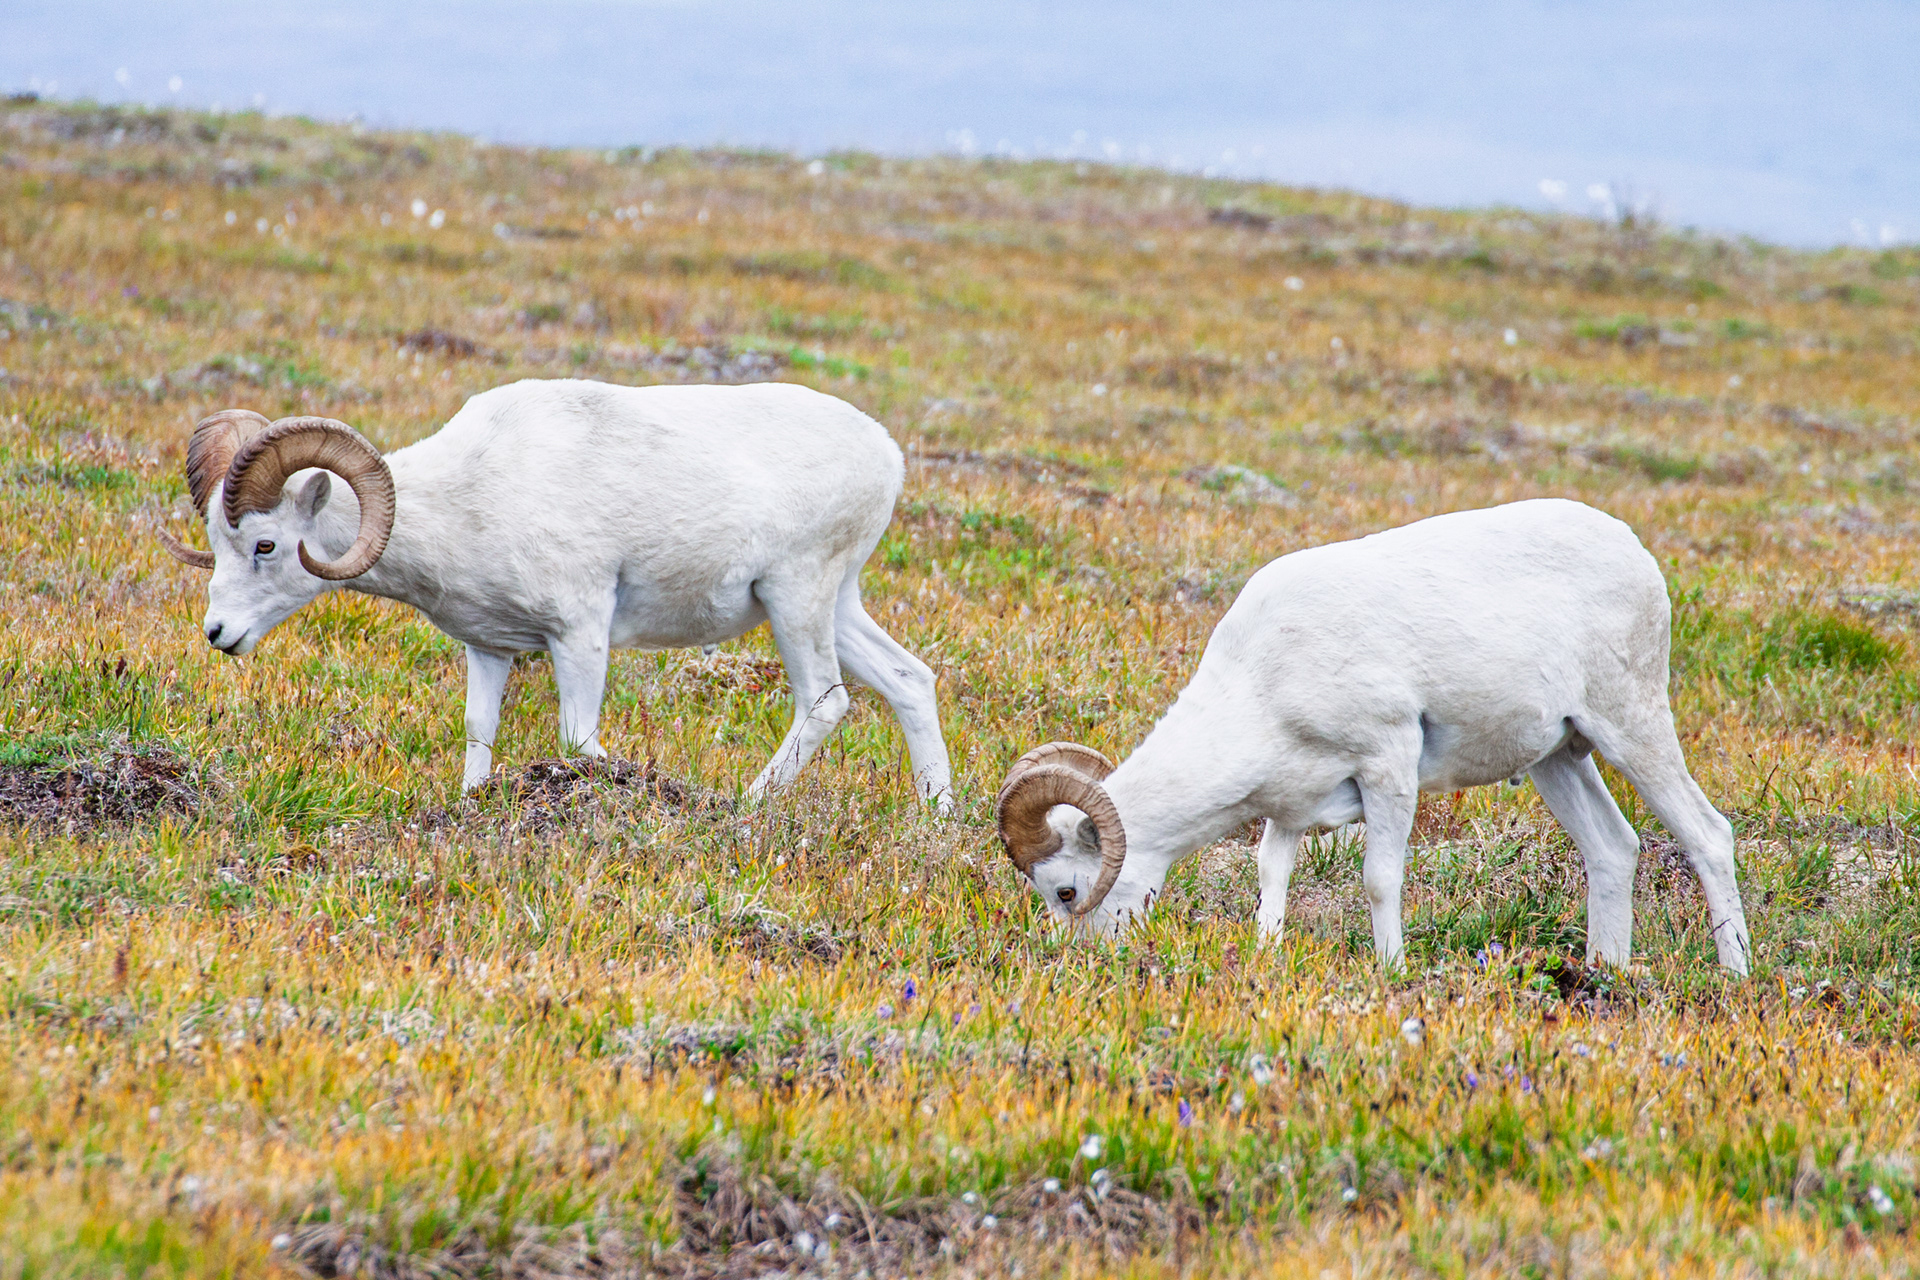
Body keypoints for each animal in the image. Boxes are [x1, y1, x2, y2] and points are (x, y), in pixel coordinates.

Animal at [158, 379, 954, 808]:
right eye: (217, 539)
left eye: (265, 546)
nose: (219, 634)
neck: (469, 496)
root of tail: (886, 453)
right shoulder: (489, 649)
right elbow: (479, 733)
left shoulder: (580, 635)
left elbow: (578, 741)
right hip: (836, 605)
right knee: (909, 681)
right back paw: (937, 817)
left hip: (796, 600)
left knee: (826, 700)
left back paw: (746, 806)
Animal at [993, 498, 1751, 973]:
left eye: (1065, 891)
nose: (1078, 960)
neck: (1262, 682)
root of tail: (1636, 554)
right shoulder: (1291, 806)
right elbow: (1271, 876)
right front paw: (1267, 954)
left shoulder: (1388, 766)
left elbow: (1380, 879)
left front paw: (1391, 968)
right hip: (1558, 759)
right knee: (1613, 850)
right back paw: (1604, 973)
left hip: (1631, 726)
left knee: (1708, 835)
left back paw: (1734, 973)